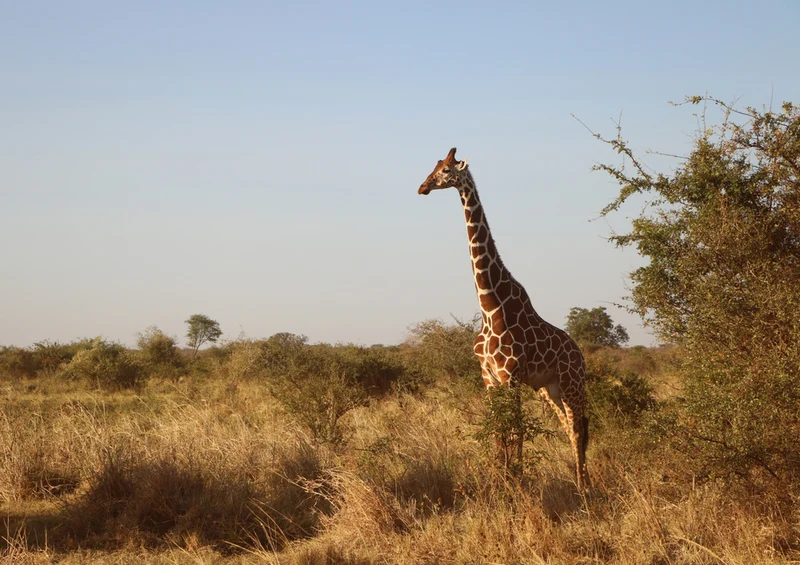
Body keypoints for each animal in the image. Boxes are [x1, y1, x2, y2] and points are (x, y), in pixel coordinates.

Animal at [418, 147, 590, 490]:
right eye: (434, 167)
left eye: (445, 170)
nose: (422, 187)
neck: (490, 305)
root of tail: (579, 352)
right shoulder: (490, 378)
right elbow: (499, 430)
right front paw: (499, 478)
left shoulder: (511, 376)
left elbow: (517, 430)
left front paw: (516, 480)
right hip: (548, 388)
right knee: (568, 426)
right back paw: (579, 478)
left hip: (571, 381)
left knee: (578, 427)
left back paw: (583, 485)